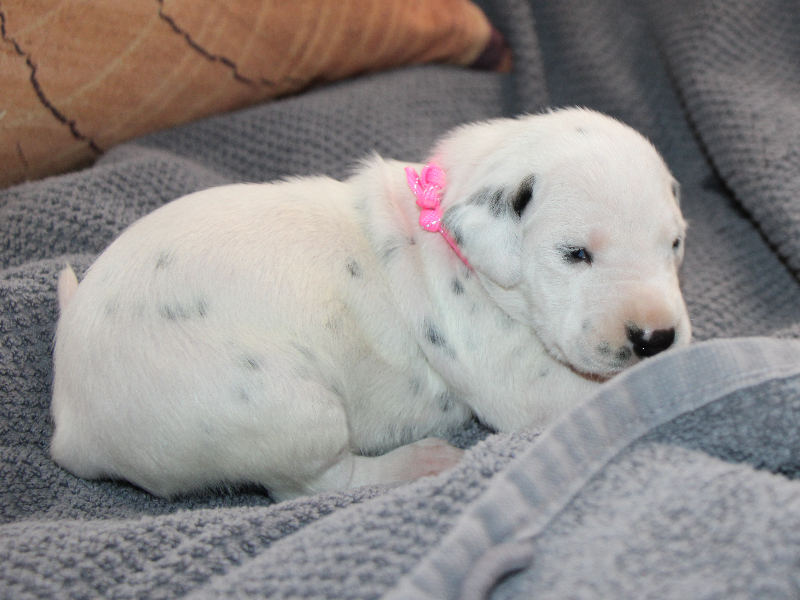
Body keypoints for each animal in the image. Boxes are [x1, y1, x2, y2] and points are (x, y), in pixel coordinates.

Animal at [51, 108, 690, 501]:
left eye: (675, 244)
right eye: (576, 253)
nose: (656, 338)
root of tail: (72, 424)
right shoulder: (514, 374)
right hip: (285, 408)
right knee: (317, 486)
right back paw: (415, 464)